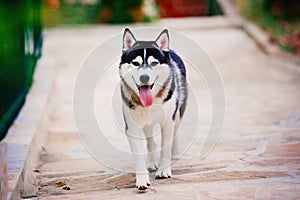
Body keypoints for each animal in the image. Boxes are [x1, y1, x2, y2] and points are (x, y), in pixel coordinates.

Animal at [119, 27, 186, 189]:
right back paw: (151, 163)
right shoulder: (132, 128)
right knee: (150, 141)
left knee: (176, 131)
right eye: (135, 63)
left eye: (154, 63)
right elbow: (139, 153)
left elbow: (165, 147)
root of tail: (169, 50)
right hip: (146, 124)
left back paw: (175, 153)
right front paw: (142, 179)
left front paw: (164, 170)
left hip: (178, 112)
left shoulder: (168, 122)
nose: (144, 77)